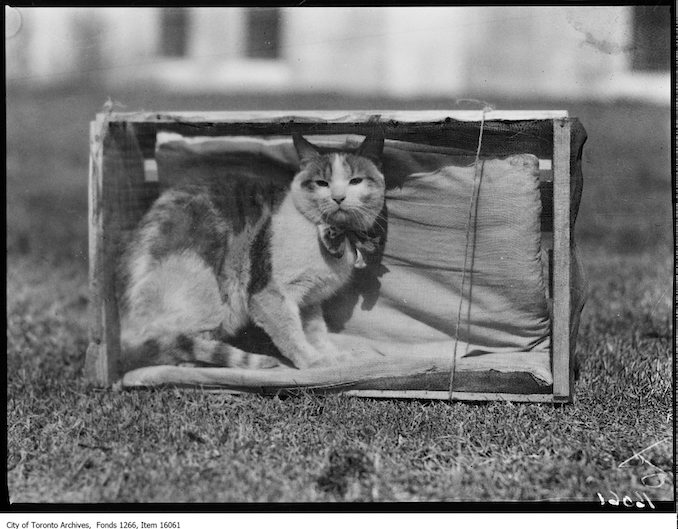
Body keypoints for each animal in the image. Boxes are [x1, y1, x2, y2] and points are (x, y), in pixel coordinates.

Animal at [117, 132, 388, 372]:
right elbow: (291, 334)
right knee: (175, 350)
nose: (338, 197)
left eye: (355, 181)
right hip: (209, 296)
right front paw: (314, 362)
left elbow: (316, 332)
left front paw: (333, 356)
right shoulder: (270, 294)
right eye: (322, 183)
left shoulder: (310, 302)